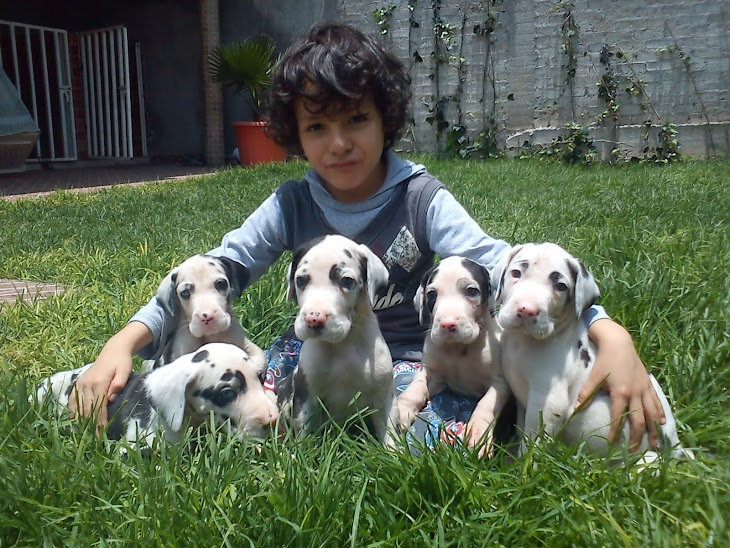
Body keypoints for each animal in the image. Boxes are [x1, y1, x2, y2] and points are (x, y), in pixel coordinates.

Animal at [284, 234, 398, 446]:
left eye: (346, 280)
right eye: (301, 280)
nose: (314, 318)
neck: (342, 345)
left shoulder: (383, 397)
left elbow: (390, 434)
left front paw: (395, 452)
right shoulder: (306, 396)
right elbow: (304, 434)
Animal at [398, 260, 500, 456]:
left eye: (471, 291)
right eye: (431, 294)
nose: (447, 324)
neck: (458, 348)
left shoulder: (499, 383)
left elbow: (486, 405)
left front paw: (479, 434)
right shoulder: (431, 373)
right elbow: (414, 390)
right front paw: (399, 410)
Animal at [484, 244, 688, 462]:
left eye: (561, 286)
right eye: (516, 273)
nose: (527, 310)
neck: (524, 341)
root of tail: (676, 448)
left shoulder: (547, 403)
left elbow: (533, 443)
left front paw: (523, 467)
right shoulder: (523, 402)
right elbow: (522, 431)